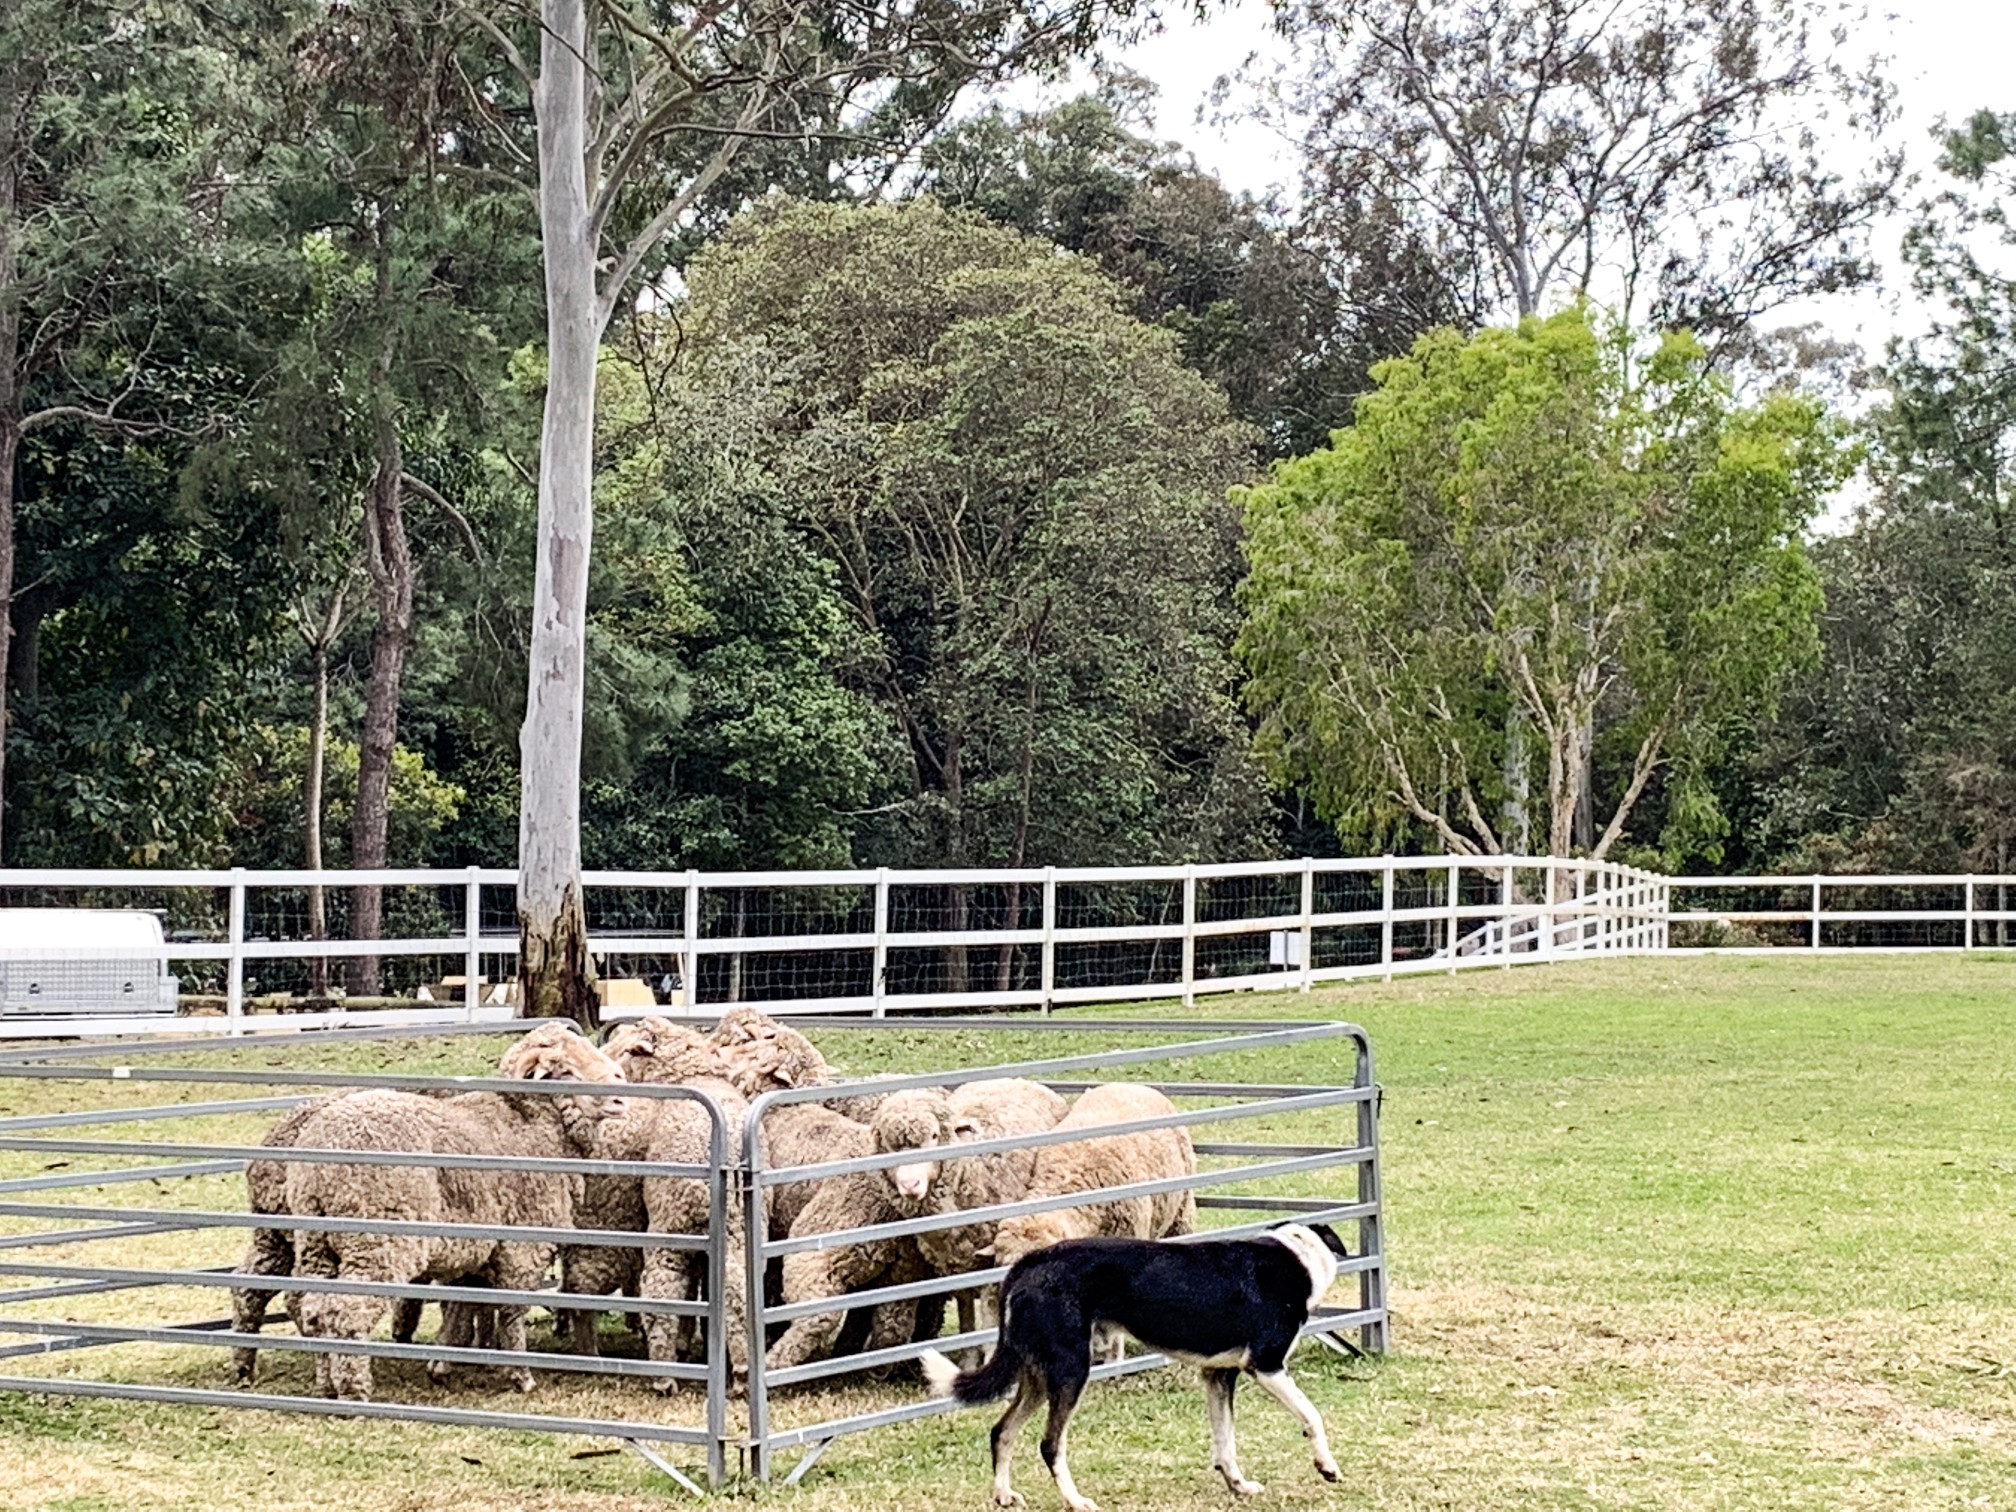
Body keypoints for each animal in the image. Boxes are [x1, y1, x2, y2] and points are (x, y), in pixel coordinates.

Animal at [276, 1024, 620, 1403]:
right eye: (566, 1070)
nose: (621, 1092)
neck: (532, 1129)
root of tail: (321, 1160)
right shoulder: (521, 1247)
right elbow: (511, 1310)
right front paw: (521, 1376)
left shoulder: (476, 1250)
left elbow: (462, 1304)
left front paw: (441, 1364)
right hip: (377, 1241)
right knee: (346, 1311)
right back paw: (355, 1389)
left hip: (315, 1242)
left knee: (313, 1308)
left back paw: (326, 1385)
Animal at [927, 1233, 1354, 1512]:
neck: (1296, 1258)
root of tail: (1031, 1261)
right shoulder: (1266, 1366)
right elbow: (1312, 1416)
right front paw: (1327, 1467)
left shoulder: (1218, 1375)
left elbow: (1225, 1443)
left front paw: (1239, 1486)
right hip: (1070, 1371)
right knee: (1050, 1444)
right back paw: (1076, 1500)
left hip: (1037, 1376)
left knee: (1002, 1431)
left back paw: (1003, 1495)